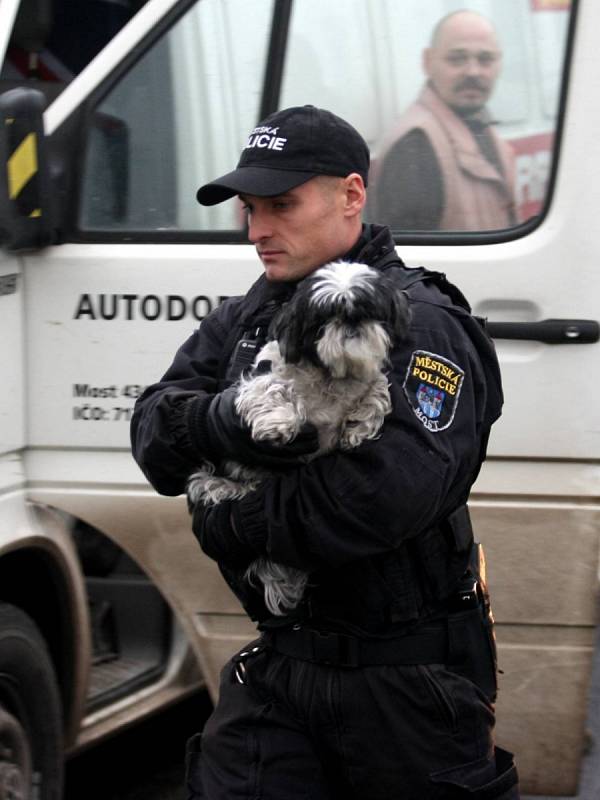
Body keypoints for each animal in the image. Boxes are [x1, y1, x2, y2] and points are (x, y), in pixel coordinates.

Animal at [189, 260, 412, 616]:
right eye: (326, 316)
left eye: (369, 308)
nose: (352, 321)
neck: (332, 376)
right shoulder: (263, 377)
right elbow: (273, 390)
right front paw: (279, 423)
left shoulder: (369, 381)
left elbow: (378, 389)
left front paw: (359, 426)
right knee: (213, 481)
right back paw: (226, 488)